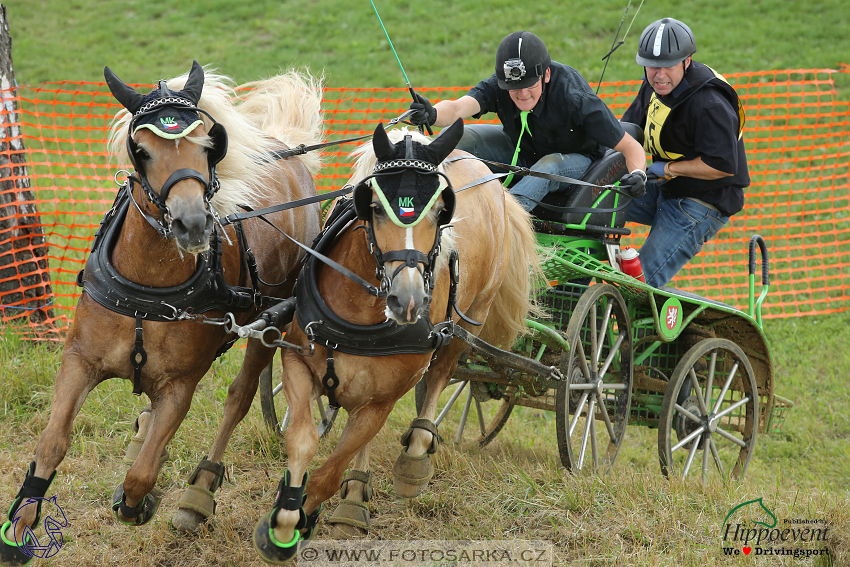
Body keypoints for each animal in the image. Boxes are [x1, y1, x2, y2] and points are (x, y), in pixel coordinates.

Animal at [0, 60, 322, 564]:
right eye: (143, 151)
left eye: (209, 144)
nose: (192, 224)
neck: (148, 284)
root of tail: (283, 148)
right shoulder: (78, 362)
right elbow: (52, 442)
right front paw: (20, 526)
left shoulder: (179, 387)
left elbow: (142, 477)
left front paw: (140, 501)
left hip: (273, 321)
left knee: (240, 396)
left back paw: (197, 494)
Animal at [252, 120, 544, 564]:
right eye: (373, 206)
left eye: (441, 212)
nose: (408, 301)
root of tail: (488, 174)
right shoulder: (299, 364)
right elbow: (303, 441)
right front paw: (284, 517)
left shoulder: (384, 399)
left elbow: (329, 471)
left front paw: (299, 520)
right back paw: (356, 494)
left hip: (466, 325)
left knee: (439, 379)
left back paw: (413, 457)